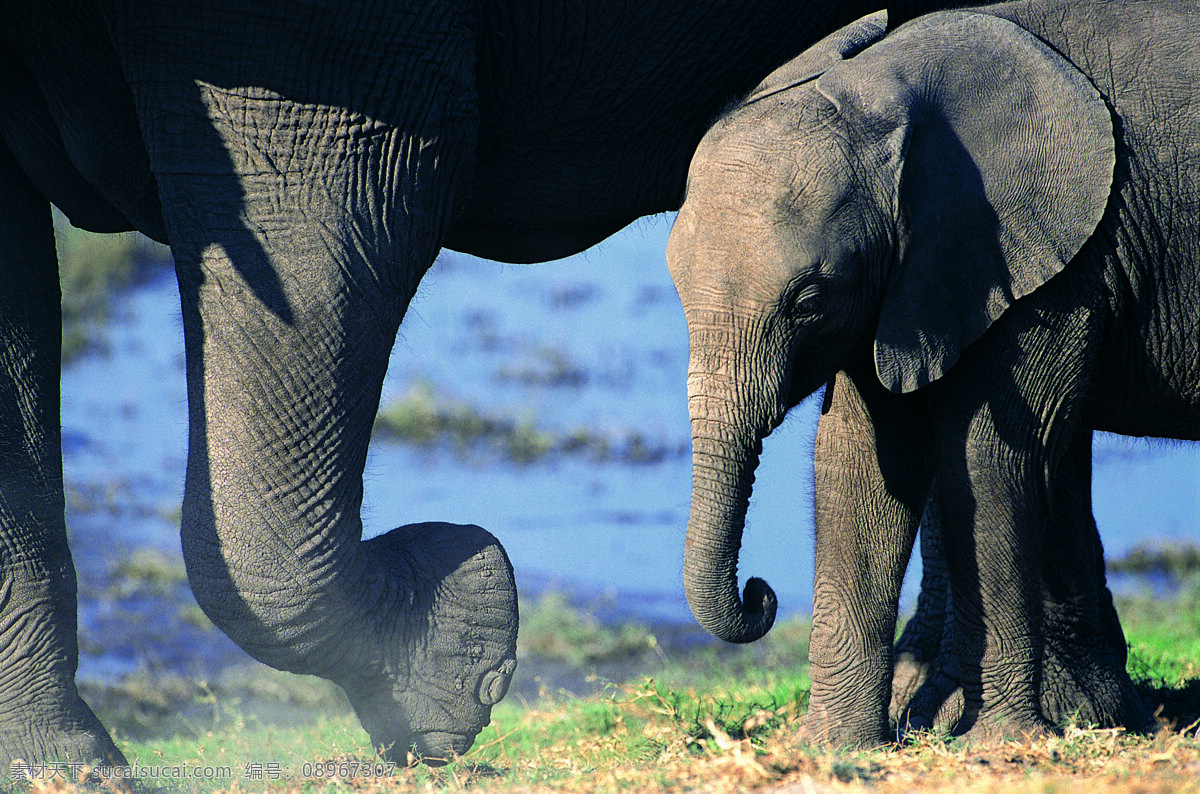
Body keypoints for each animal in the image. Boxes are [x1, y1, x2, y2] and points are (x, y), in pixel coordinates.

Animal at [668, 1, 1200, 746]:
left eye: (810, 301)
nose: (759, 593)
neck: (880, 89)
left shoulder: (1049, 262)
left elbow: (988, 457)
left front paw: (999, 742)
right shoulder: (905, 280)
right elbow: (861, 464)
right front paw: (835, 747)